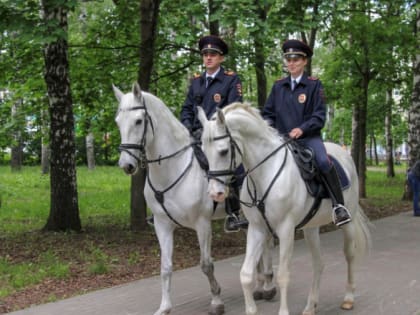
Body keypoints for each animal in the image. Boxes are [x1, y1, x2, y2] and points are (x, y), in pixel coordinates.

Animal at [113, 83, 278, 315]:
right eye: (118, 121)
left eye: (138, 120)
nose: (126, 165)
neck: (172, 168)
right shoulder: (162, 225)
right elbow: (165, 267)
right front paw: (164, 307)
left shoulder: (202, 224)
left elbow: (206, 265)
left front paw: (216, 301)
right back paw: (261, 285)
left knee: (268, 242)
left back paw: (269, 285)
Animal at [199, 103, 372, 315]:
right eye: (204, 152)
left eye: (223, 151)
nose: (215, 193)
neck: (265, 173)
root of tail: (343, 153)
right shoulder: (256, 229)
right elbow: (246, 274)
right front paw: (251, 309)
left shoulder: (286, 230)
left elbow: (282, 275)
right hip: (311, 228)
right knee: (318, 263)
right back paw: (310, 306)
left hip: (349, 220)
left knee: (349, 255)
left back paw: (348, 298)